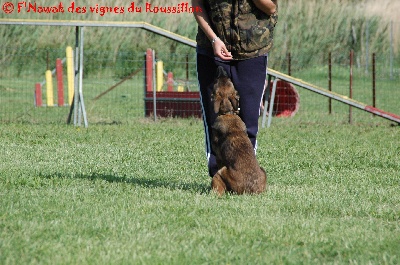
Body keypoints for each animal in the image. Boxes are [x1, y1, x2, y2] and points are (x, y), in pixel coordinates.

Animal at [209, 66, 266, 194]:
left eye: (216, 81)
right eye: (229, 80)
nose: (221, 67)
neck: (228, 113)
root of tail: (250, 190)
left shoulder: (219, 157)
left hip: (221, 172)